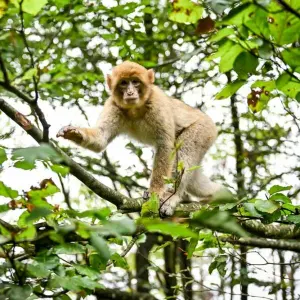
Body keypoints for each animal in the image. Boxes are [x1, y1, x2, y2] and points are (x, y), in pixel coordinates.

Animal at [56, 61, 225, 216]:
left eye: (135, 82)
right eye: (124, 83)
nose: (130, 92)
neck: (135, 109)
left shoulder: (157, 103)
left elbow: (165, 146)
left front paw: (155, 192)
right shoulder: (113, 105)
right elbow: (101, 138)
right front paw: (74, 132)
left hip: (203, 130)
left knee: (184, 153)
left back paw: (174, 197)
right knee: (194, 179)